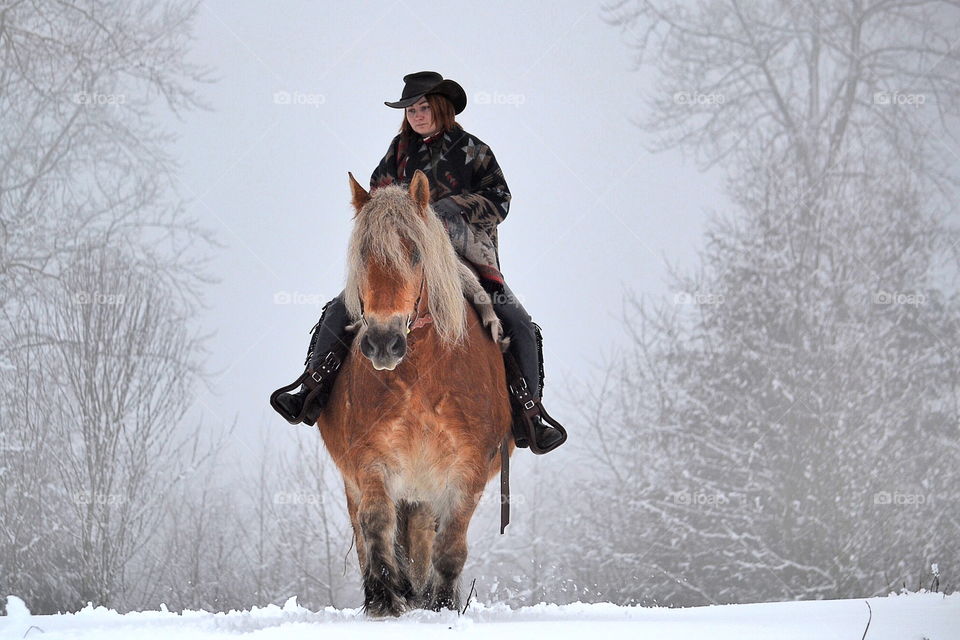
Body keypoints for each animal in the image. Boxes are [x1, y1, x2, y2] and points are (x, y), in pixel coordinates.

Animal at [316, 169, 512, 616]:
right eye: (362, 257)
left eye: (416, 254)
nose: (382, 343)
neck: (423, 375)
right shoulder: (370, 459)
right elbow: (375, 526)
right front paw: (385, 598)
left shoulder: (468, 470)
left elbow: (450, 547)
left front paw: (440, 605)